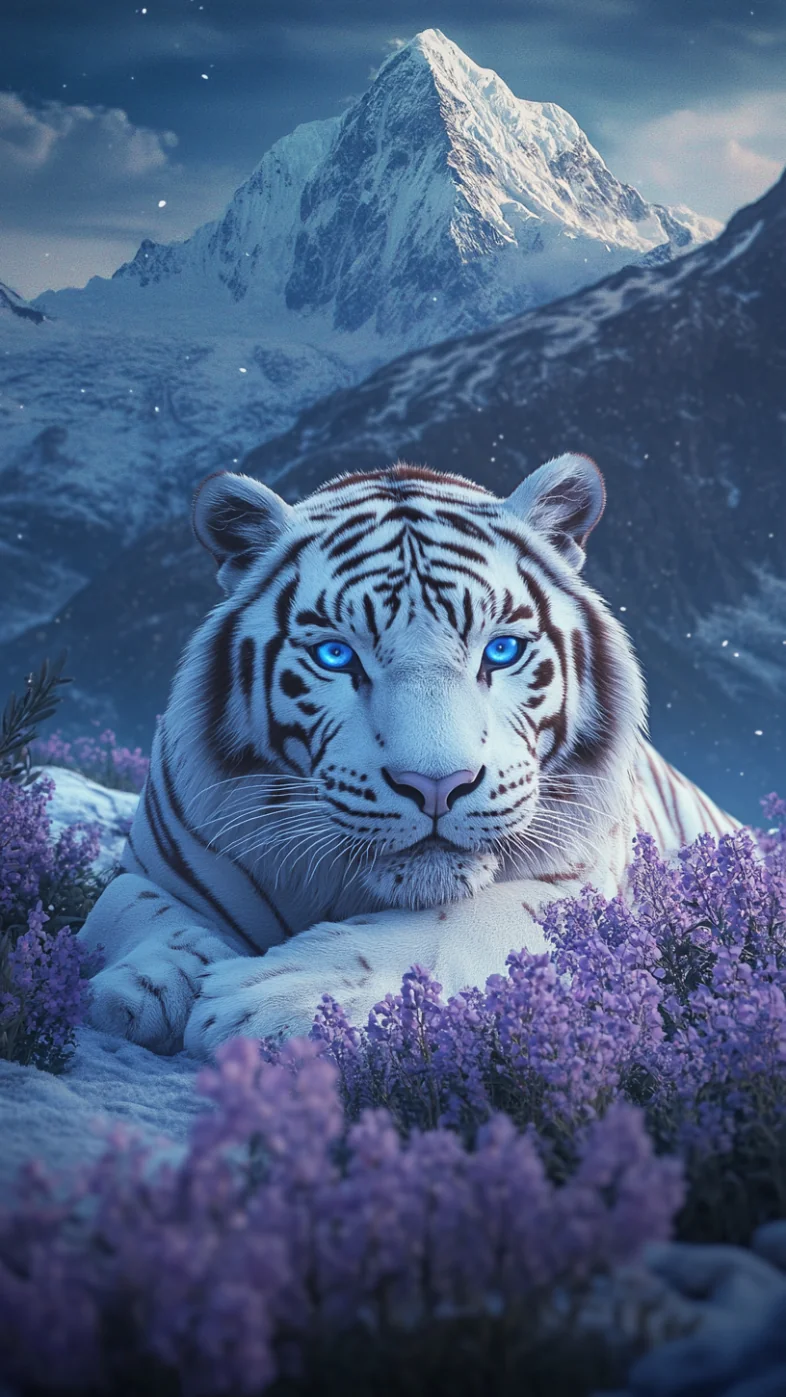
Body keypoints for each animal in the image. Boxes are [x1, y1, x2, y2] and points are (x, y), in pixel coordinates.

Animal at [77, 454, 740, 1058]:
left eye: (500, 651)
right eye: (337, 656)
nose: (437, 785)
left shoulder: (581, 887)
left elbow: (457, 922)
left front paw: (270, 1000)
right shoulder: (151, 869)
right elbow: (131, 909)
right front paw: (141, 986)